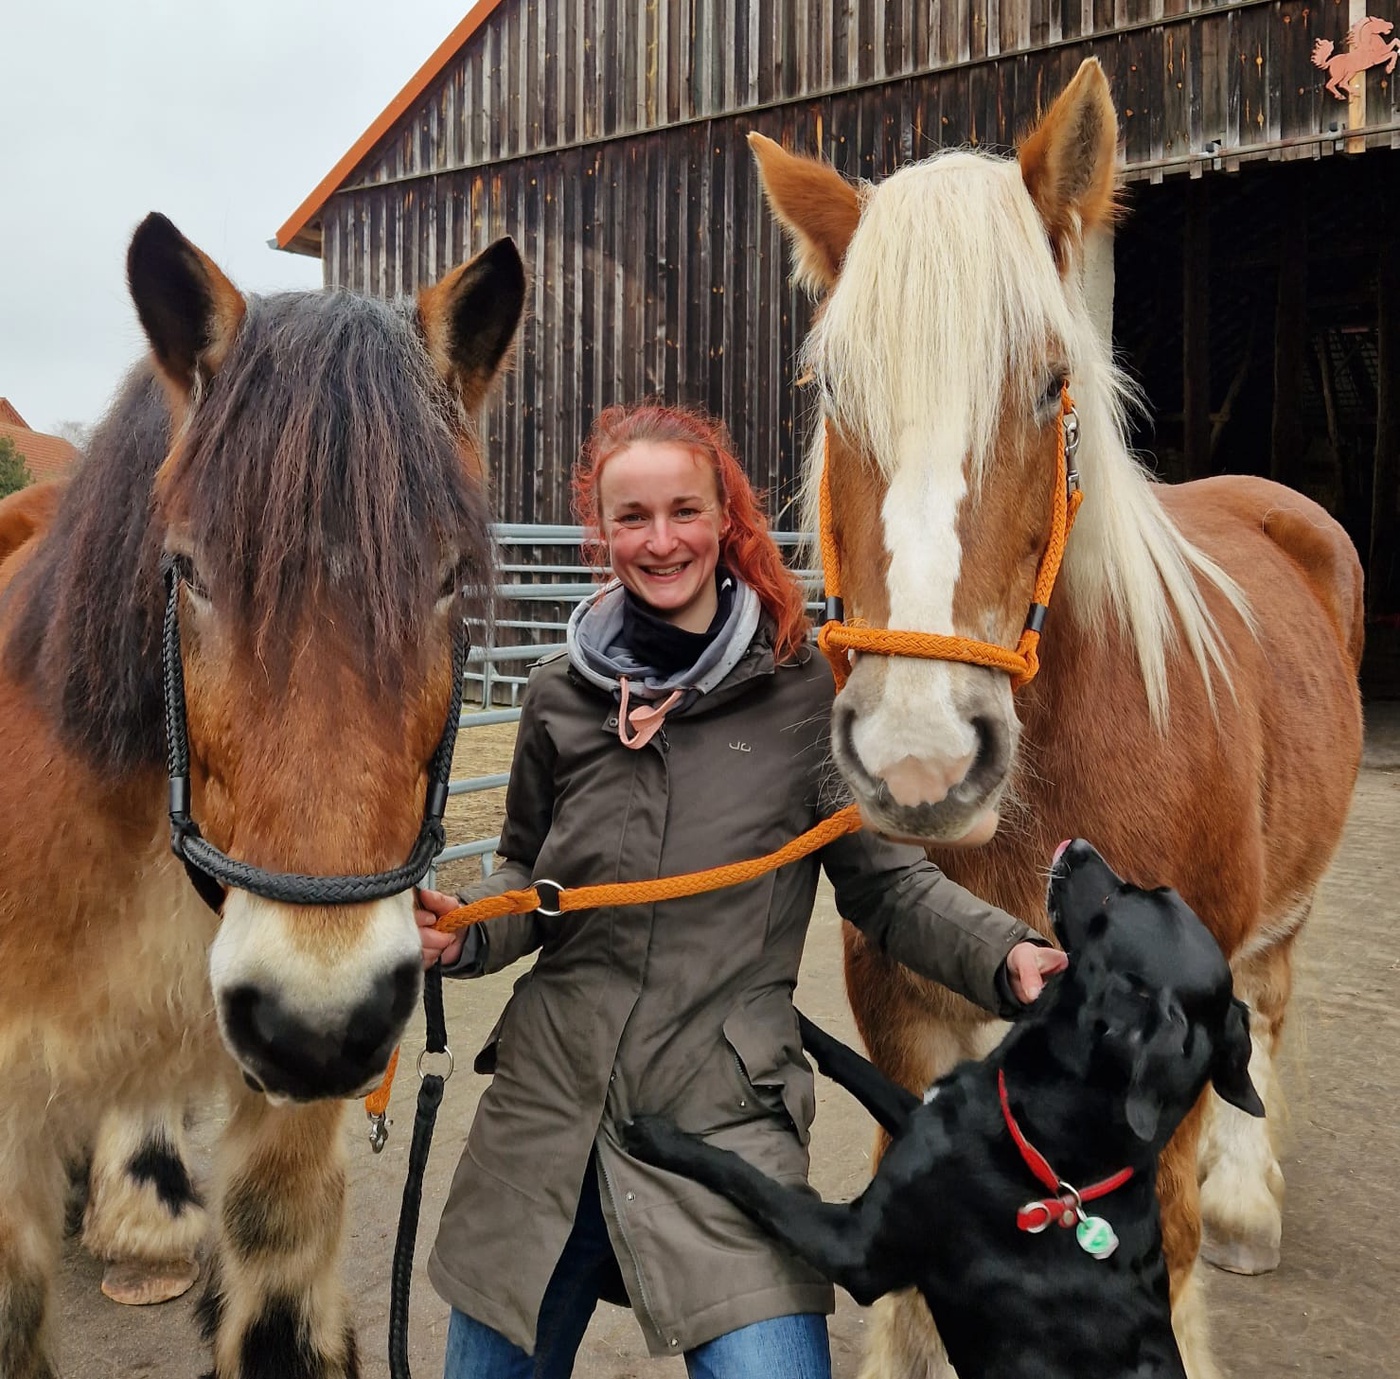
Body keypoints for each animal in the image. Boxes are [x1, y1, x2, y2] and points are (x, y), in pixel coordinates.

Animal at [627, 840, 1271, 1377]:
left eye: (1123, 899)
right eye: (1150, 891)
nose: (1080, 845)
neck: (1049, 1144)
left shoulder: (853, 1247)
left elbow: (747, 1178)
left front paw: (657, 1137)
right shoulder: (921, 1112)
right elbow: (847, 1059)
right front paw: (788, 1014)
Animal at [750, 56, 1360, 1377]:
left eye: (1047, 384)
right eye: (831, 391)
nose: (920, 758)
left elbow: (1168, 1250)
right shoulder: (903, 1011)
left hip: (1280, 916)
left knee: (1270, 1004)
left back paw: (1248, 1206)